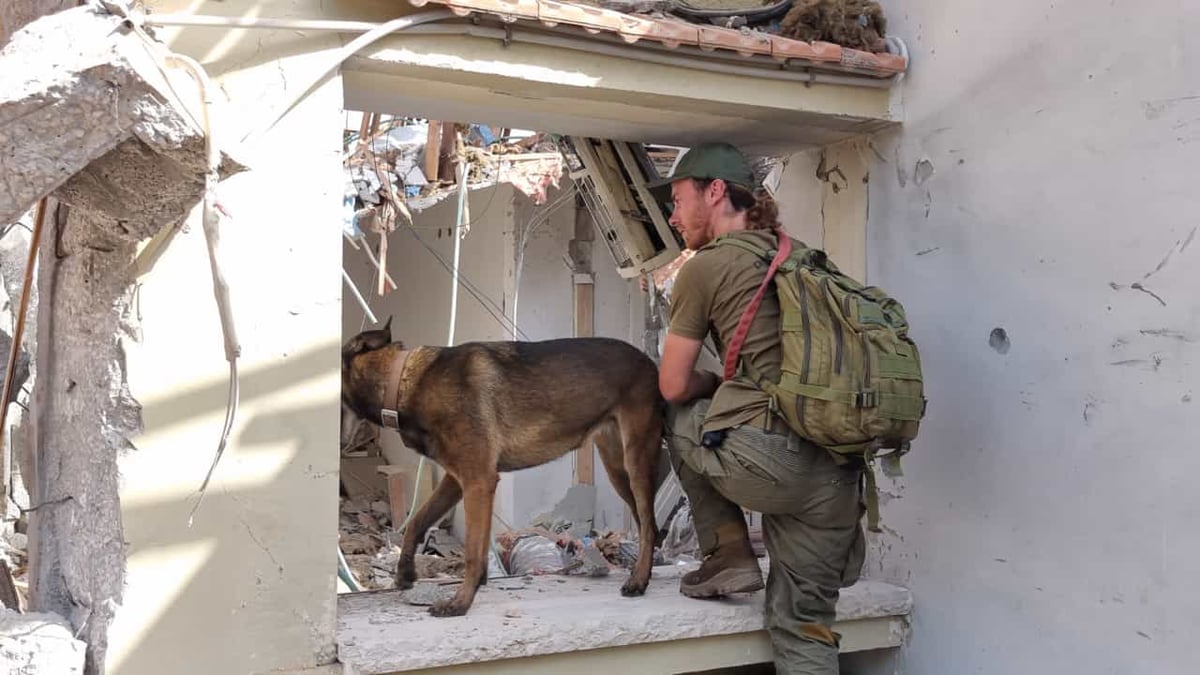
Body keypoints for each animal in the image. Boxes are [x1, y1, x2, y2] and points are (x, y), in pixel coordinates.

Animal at [343, 317, 667, 619]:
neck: (405, 382)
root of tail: (650, 363)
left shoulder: (478, 481)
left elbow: (472, 553)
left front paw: (460, 602)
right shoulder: (457, 480)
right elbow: (417, 521)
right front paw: (405, 572)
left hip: (636, 460)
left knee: (649, 523)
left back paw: (638, 580)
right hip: (616, 469)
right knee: (645, 523)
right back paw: (643, 571)